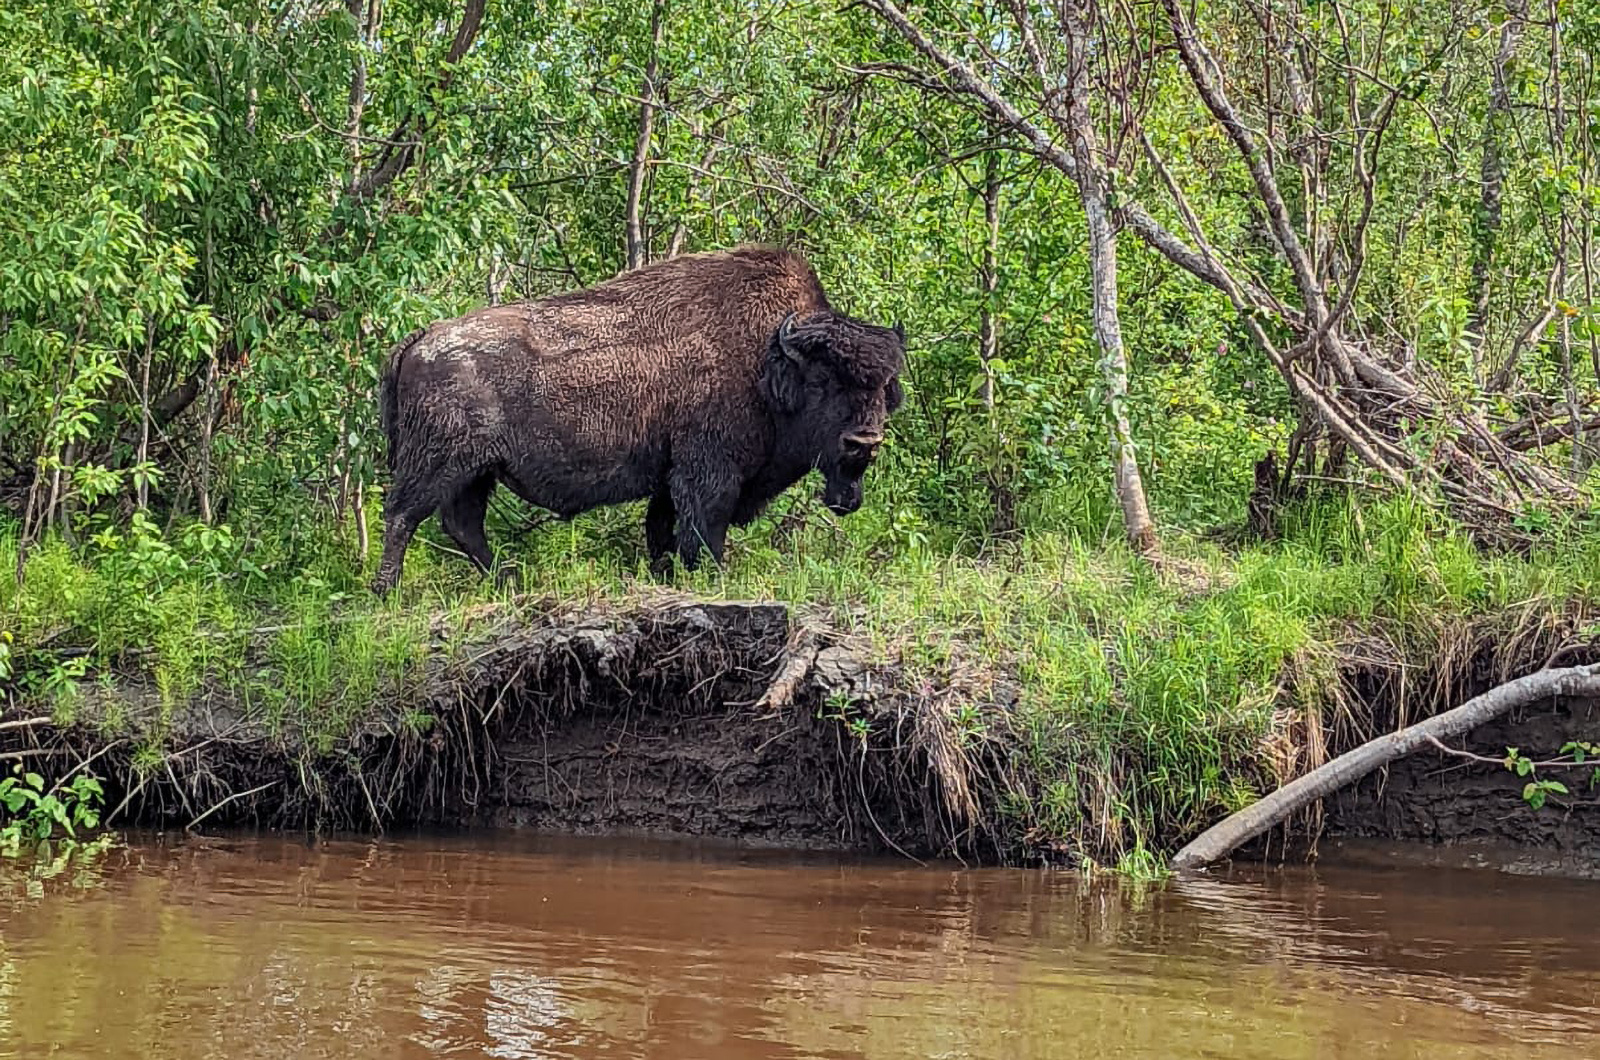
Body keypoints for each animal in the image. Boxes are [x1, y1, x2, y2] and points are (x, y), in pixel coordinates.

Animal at [369, 246, 906, 595]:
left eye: (885, 386)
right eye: (824, 380)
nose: (864, 441)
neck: (767, 358)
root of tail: (423, 337)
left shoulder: (670, 479)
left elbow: (662, 529)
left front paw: (665, 574)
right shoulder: (708, 472)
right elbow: (704, 528)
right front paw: (714, 576)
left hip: (475, 472)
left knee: (461, 524)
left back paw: (508, 578)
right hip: (440, 465)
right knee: (403, 515)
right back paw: (387, 590)